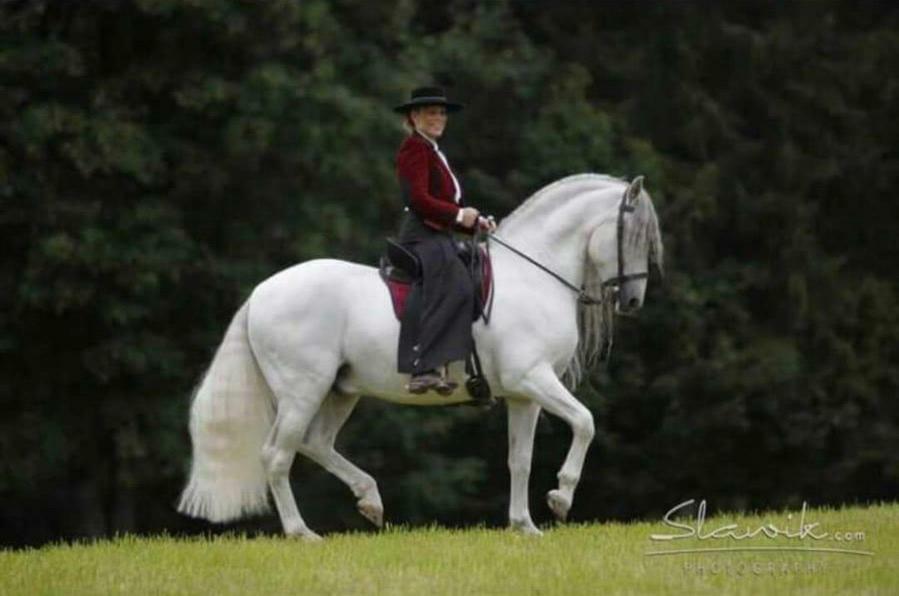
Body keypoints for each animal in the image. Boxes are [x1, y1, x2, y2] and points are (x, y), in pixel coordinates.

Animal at [178, 173, 660, 540]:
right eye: (633, 235)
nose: (634, 301)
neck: (534, 275)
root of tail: (261, 293)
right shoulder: (534, 379)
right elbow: (585, 422)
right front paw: (561, 497)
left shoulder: (523, 396)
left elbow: (519, 459)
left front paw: (524, 526)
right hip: (303, 391)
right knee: (278, 455)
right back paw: (303, 533)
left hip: (340, 391)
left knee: (315, 443)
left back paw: (370, 500)